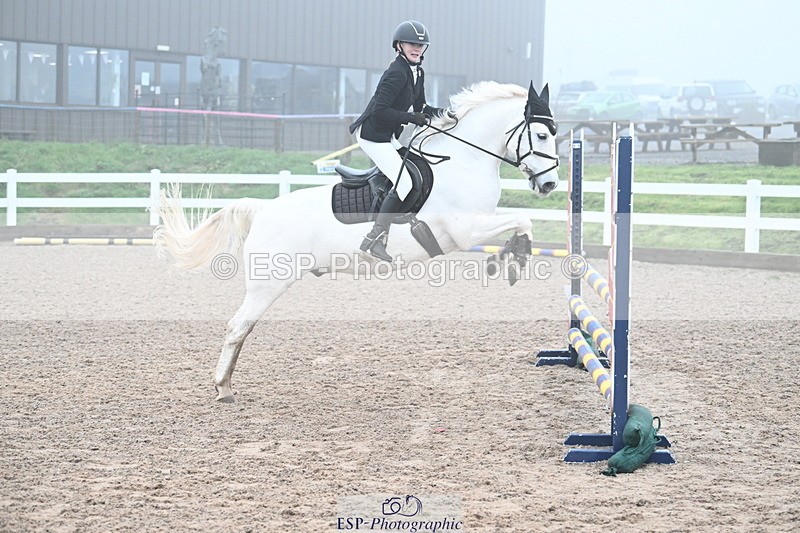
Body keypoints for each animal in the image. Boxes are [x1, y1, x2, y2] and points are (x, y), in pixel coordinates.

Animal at [154, 81, 560, 402]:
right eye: (542, 135)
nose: (550, 184)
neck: (461, 162)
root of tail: (264, 209)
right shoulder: (466, 230)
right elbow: (522, 220)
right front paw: (513, 261)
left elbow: (521, 222)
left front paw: (508, 258)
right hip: (268, 283)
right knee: (238, 327)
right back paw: (223, 386)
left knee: (242, 328)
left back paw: (226, 385)